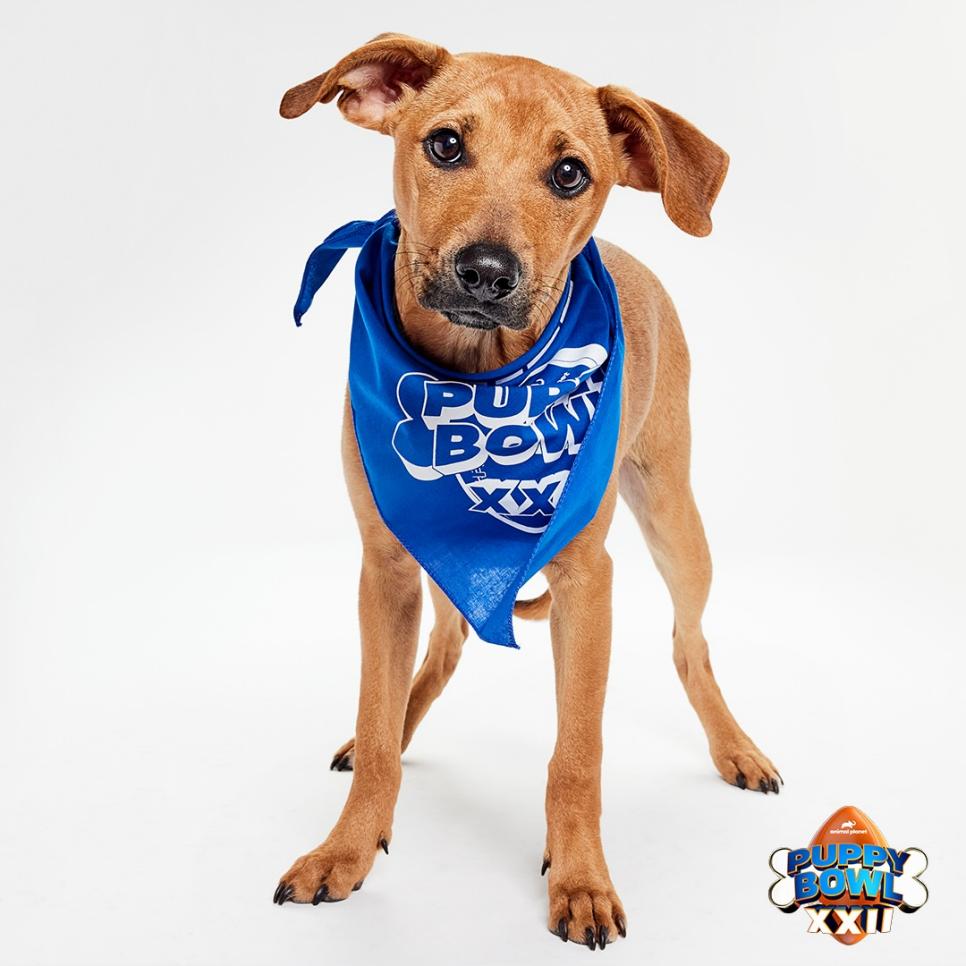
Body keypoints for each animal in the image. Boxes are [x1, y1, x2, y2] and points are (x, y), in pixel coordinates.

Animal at [274, 33, 779, 949]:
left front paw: (580, 880)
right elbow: (377, 728)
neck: (478, 386)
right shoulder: (385, 568)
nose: (485, 272)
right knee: (443, 648)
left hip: (675, 520)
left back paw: (737, 748)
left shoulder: (589, 583)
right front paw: (347, 849)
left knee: (690, 644)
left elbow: (577, 757)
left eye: (570, 173)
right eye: (444, 145)